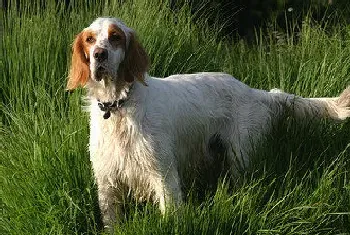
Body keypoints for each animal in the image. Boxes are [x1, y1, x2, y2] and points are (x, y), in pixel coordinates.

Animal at [66, 17, 350, 229]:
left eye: (115, 37)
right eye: (90, 40)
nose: (99, 55)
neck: (119, 106)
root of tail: (255, 92)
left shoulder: (163, 173)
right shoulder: (107, 180)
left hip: (240, 156)